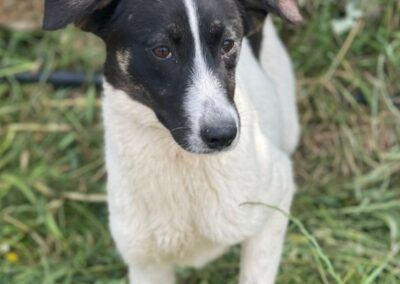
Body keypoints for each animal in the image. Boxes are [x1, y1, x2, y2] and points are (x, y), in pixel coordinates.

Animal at [43, 0, 300, 282]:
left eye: (228, 44)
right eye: (161, 50)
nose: (223, 135)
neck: (179, 162)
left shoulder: (276, 200)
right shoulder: (145, 263)